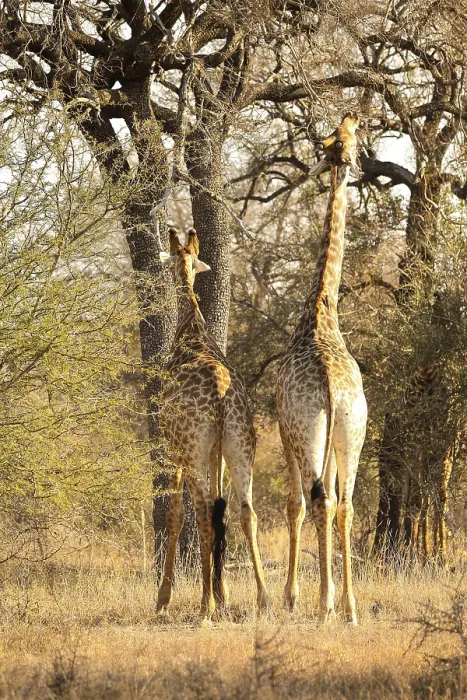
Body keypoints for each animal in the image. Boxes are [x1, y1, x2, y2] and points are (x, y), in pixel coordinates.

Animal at [156, 226, 268, 620]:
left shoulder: (173, 450)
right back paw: (263, 599)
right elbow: (225, 511)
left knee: (203, 513)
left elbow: (175, 515)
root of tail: (220, 396)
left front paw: (164, 598)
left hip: (194, 451)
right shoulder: (216, 452)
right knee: (247, 512)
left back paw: (204, 606)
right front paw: (224, 594)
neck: (191, 329)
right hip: (240, 446)